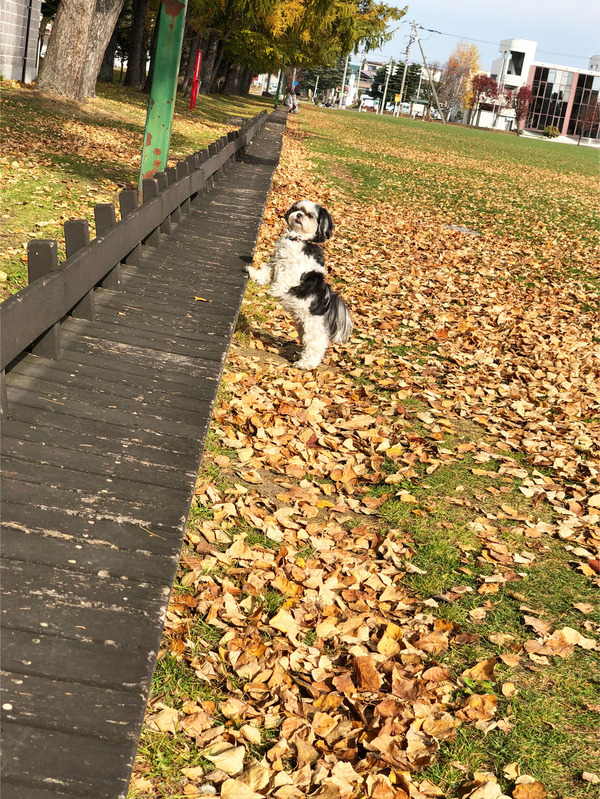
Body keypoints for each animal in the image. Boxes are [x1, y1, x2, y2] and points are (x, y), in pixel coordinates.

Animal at [247, 203, 352, 372]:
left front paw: (274, 290)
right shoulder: (275, 262)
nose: (298, 215)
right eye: (298, 209)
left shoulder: (296, 271)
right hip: (302, 326)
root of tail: (328, 304)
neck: (297, 239)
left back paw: (305, 364)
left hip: (313, 328)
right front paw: (254, 274)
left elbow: (284, 279)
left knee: (316, 346)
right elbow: (266, 271)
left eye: (309, 215)